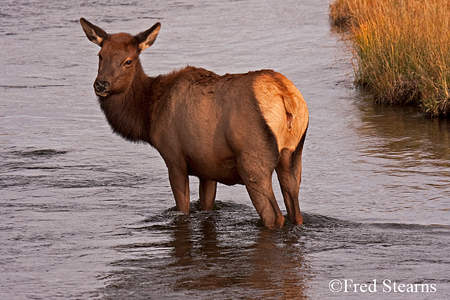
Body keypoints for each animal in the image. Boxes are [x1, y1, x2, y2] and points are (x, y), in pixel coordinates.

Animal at [79, 18, 308, 229]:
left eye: (128, 61)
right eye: (100, 55)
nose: (101, 84)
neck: (149, 114)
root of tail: (286, 97)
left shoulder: (174, 158)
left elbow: (183, 209)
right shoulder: (208, 167)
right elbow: (206, 206)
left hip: (253, 161)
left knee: (274, 216)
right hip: (293, 155)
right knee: (295, 212)